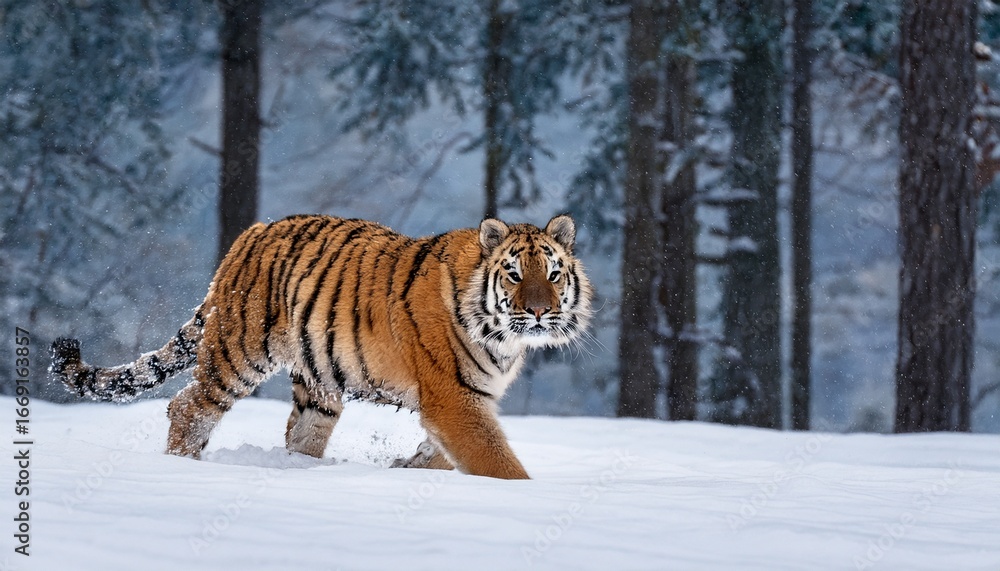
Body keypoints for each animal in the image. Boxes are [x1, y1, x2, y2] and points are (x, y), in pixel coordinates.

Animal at [50, 214, 592, 479]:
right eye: (515, 275)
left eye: (553, 274)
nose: (540, 312)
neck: (503, 336)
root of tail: (254, 230)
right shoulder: (453, 398)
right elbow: (498, 462)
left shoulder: (466, 399)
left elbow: (447, 452)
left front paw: (411, 466)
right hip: (240, 351)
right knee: (187, 406)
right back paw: (182, 466)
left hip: (320, 382)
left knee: (300, 433)